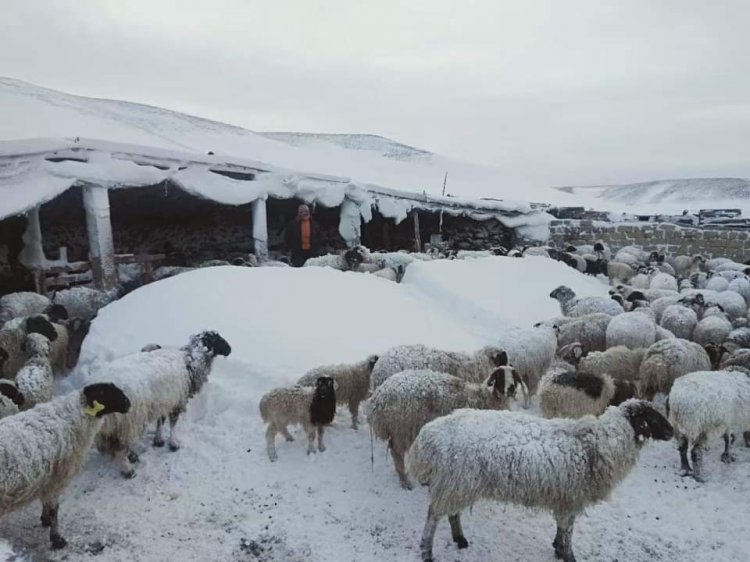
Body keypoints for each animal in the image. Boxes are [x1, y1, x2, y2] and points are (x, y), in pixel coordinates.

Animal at [83, 330, 231, 474]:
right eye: (219, 339)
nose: (230, 350)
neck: (191, 361)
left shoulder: (164, 401)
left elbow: (161, 421)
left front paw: (158, 440)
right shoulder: (177, 401)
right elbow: (172, 425)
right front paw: (173, 443)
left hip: (112, 425)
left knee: (110, 443)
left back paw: (127, 455)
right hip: (128, 422)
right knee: (120, 447)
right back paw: (128, 469)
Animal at [368, 366, 524, 488]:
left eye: (514, 377)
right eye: (500, 376)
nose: (511, 388)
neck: (485, 397)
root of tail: (380, 397)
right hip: (402, 429)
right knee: (397, 453)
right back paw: (405, 481)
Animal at [412, 398, 676, 560]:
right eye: (652, 417)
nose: (672, 431)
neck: (599, 445)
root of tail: (428, 435)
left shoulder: (566, 498)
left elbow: (562, 528)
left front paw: (557, 549)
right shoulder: (572, 498)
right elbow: (568, 531)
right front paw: (568, 556)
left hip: (458, 483)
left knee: (452, 513)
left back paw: (460, 539)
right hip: (456, 481)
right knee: (433, 516)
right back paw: (427, 551)